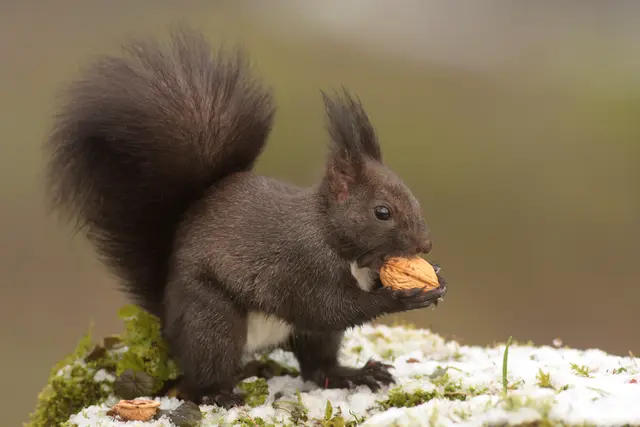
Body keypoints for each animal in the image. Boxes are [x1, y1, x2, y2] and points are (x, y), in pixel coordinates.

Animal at [44, 28, 447, 407]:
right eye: (382, 212)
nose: (426, 245)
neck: (336, 238)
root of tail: (169, 318)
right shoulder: (302, 266)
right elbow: (331, 307)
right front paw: (402, 297)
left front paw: (435, 279)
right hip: (212, 321)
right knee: (205, 373)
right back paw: (220, 394)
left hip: (306, 337)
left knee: (317, 365)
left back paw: (352, 374)